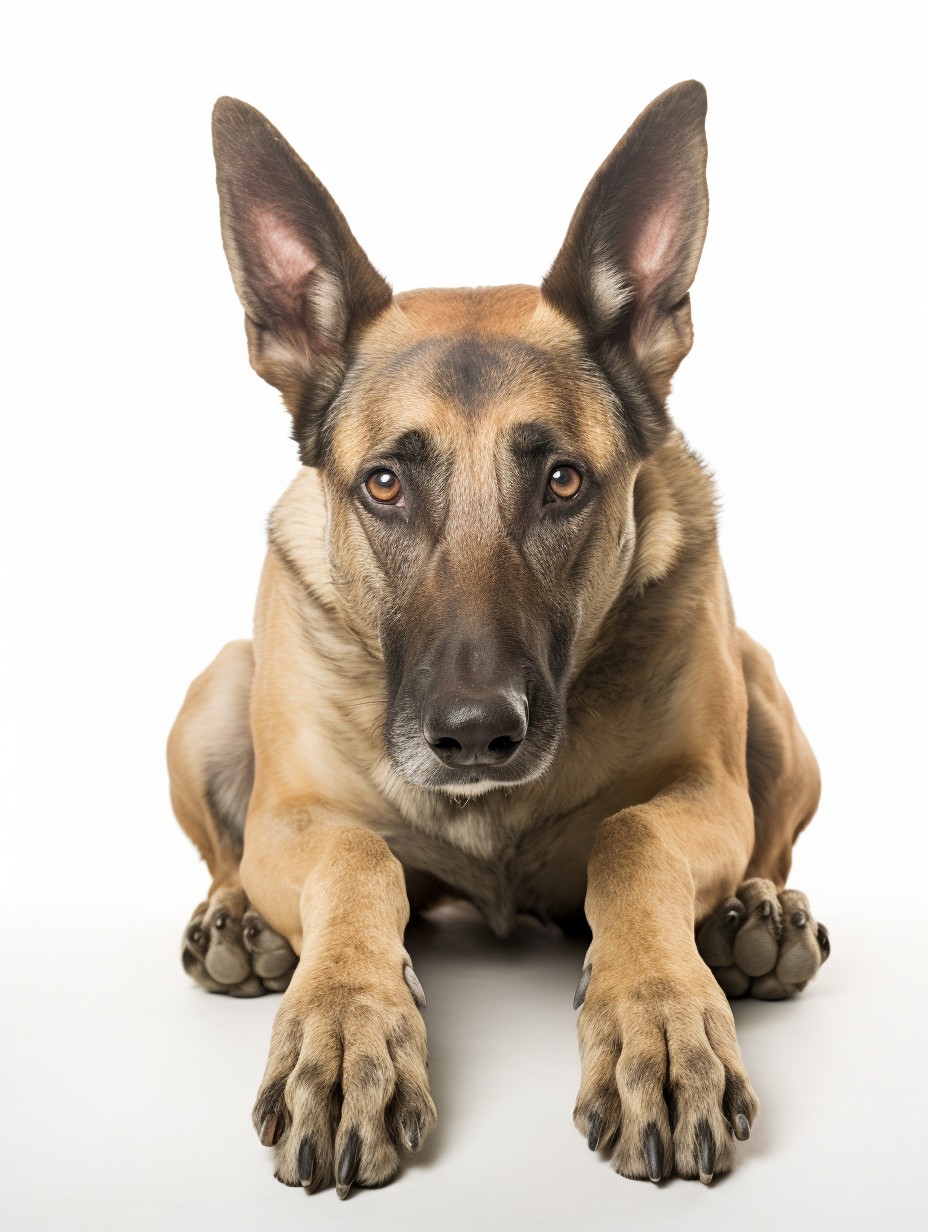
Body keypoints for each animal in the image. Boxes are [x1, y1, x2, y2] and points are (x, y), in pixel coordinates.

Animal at [170, 81, 828, 1197]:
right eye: (385, 483)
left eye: (562, 479)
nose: (476, 732)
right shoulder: (294, 819)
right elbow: (355, 851)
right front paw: (345, 1024)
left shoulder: (705, 791)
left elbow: (632, 832)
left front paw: (658, 1014)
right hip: (214, 691)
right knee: (227, 853)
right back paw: (241, 923)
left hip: (767, 694)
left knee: (770, 841)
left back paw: (754, 917)